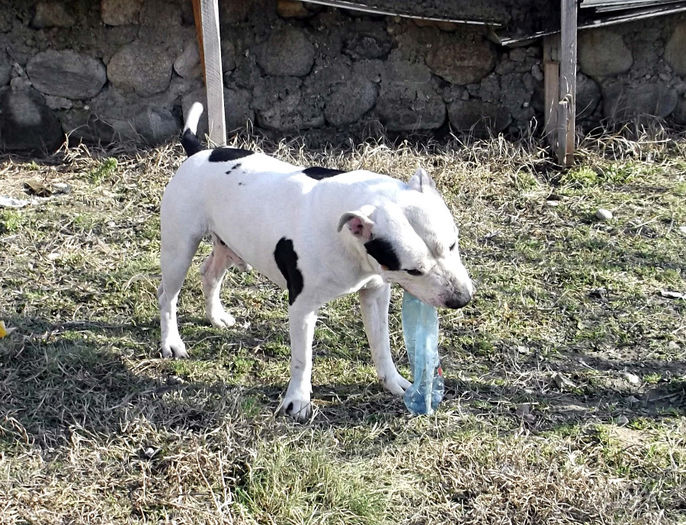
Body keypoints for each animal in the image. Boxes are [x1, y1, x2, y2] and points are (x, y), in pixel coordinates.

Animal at [159, 102, 476, 420]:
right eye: (413, 270)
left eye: (452, 244)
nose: (461, 299)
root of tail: (198, 151)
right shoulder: (302, 307)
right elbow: (303, 358)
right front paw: (297, 400)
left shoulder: (375, 293)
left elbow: (381, 343)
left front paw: (392, 380)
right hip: (178, 251)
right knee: (168, 296)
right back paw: (171, 342)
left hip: (227, 244)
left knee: (210, 275)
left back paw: (216, 316)